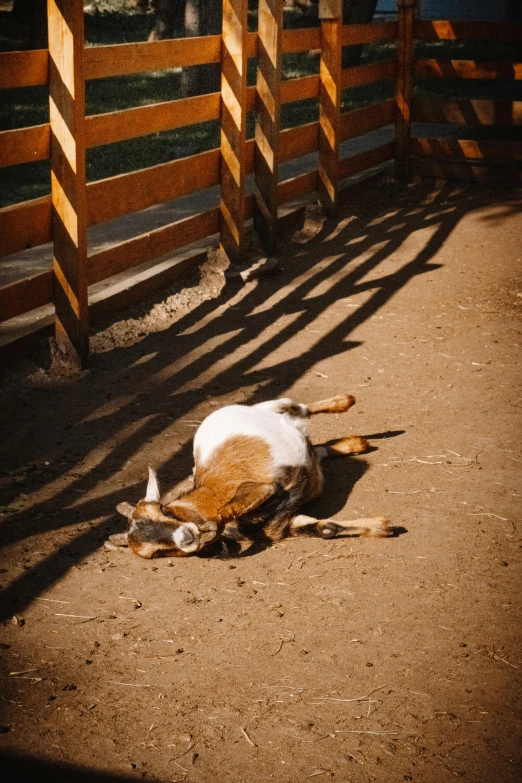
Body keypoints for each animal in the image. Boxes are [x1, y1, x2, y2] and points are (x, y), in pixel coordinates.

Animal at [104, 396, 390, 560]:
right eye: (156, 553)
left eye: (163, 510)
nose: (186, 537)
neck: (209, 497)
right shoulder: (282, 522)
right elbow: (322, 529)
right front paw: (382, 527)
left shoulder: (263, 487)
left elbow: (229, 509)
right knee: (316, 449)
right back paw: (356, 444)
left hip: (276, 406)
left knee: (303, 408)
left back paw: (346, 402)